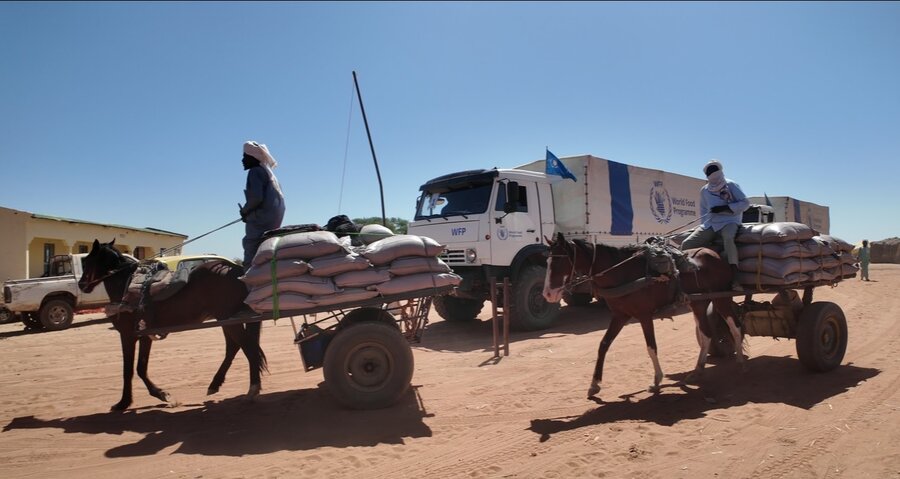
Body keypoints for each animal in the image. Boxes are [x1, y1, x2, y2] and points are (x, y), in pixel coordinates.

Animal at [78, 238, 264, 410]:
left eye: (86, 261)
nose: (81, 284)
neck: (126, 285)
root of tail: (237, 270)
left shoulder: (127, 335)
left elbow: (128, 370)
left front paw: (123, 403)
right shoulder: (145, 335)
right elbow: (141, 367)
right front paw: (161, 394)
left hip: (228, 319)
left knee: (248, 348)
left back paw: (252, 390)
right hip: (227, 319)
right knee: (235, 347)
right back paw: (216, 384)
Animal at [540, 232, 744, 398]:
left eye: (559, 261)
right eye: (547, 262)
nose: (548, 294)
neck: (622, 273)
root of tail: (716, 256)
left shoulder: (644, 315)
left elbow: (651, 346)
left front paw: (656, 380)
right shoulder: (619, 315)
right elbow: (603, 345)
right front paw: (594, 384)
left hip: (721, 298)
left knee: (735, 327)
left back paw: (740, 361)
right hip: (698, 303)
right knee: (706, 334)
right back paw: (698, 370)